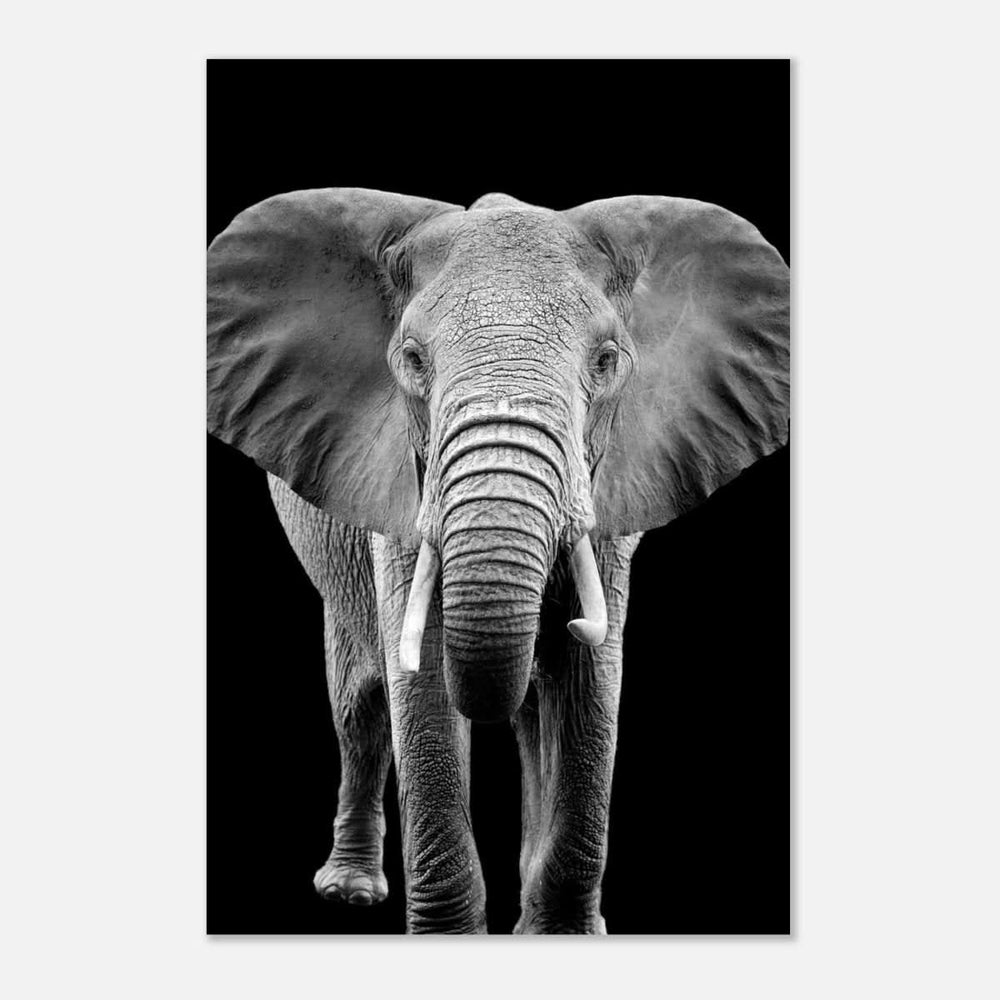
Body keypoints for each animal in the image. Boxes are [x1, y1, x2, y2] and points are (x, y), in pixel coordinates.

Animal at [207, 188, 789, 934]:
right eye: (412, 360)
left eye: (606, 362)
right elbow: (421, 685)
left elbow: (589, 686)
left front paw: (564, 933)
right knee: (360, 704)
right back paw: (350, 891)